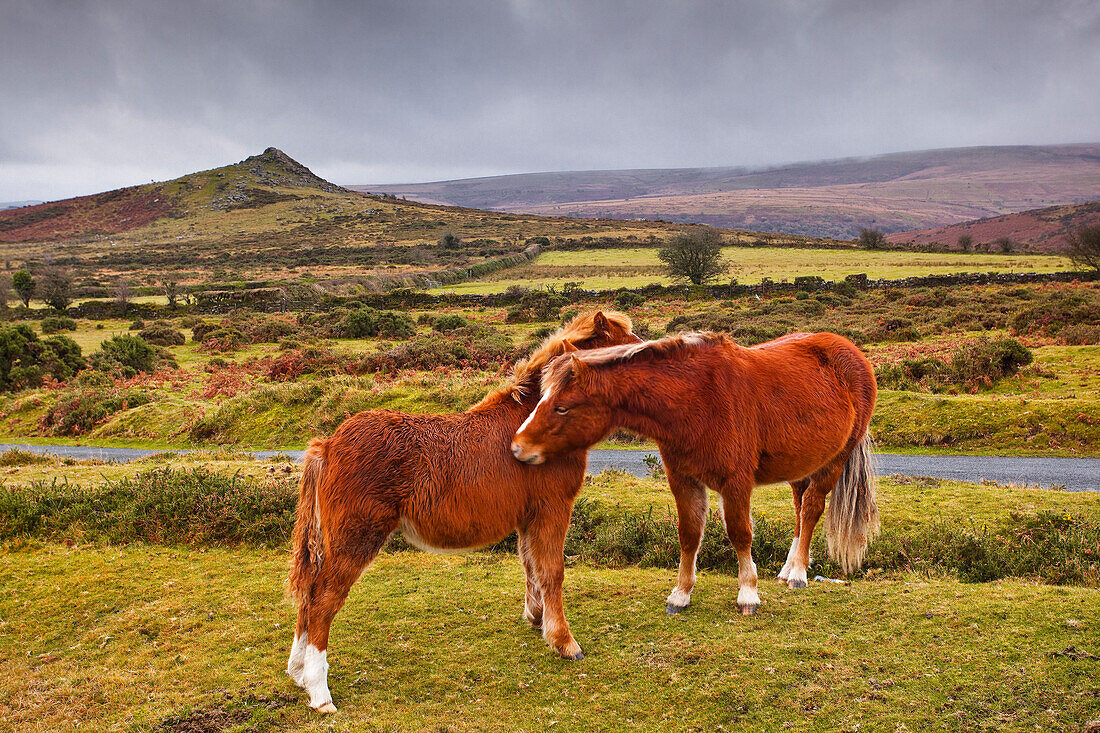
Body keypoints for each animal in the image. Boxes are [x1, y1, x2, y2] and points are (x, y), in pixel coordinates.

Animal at [288, 308, 642, 708]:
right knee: (321, 601)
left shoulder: (528, 518)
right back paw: (320, 693)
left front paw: (537, 620)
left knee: (307, 598)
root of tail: (328, 444)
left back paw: (299, 674)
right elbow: (552, 572)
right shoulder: (553, 510)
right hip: (354, 539)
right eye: (625, 348)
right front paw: (565, 643)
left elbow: (531, 568)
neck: (538, 420)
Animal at [510, 330, 880, 616]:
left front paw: (748, 593)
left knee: (812, 507)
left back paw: (800, 572)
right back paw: (789, 568)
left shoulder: (735, 483)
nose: (517, 447)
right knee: (800, 508)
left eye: (562, 407)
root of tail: (850, 352)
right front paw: (681, 594)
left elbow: (740, 534)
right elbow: (688, 534)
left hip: (834, 460)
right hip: (801, 465)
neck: (697, 397)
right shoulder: (683, 479)